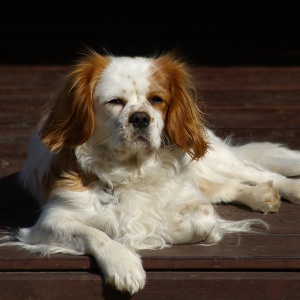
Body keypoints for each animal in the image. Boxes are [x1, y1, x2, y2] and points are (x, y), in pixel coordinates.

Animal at [3, 51, 300, 292]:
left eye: (157, 100)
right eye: (114, 101)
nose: (140, 118)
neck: (134, 170)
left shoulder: (192, 199)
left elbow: (203, 218)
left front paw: (159, 230)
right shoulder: (49, 221)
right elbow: (95, 234)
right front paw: (124, 263)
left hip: (213, 161)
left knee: (259, 175)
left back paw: (288, 190)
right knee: (228, 188)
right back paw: (261, 197)